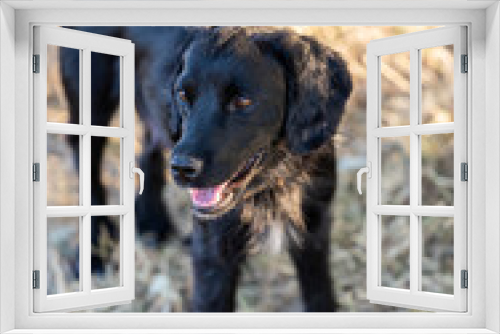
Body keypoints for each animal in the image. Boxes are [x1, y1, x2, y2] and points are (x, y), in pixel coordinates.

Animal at [60, 26, 352, 314]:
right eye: (183, 95)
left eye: (242, 101)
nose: (182, 168)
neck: (274, 180)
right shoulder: (213, 257)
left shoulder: (314, 233)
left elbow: (320, 298)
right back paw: (93, 257)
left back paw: (153, 223)